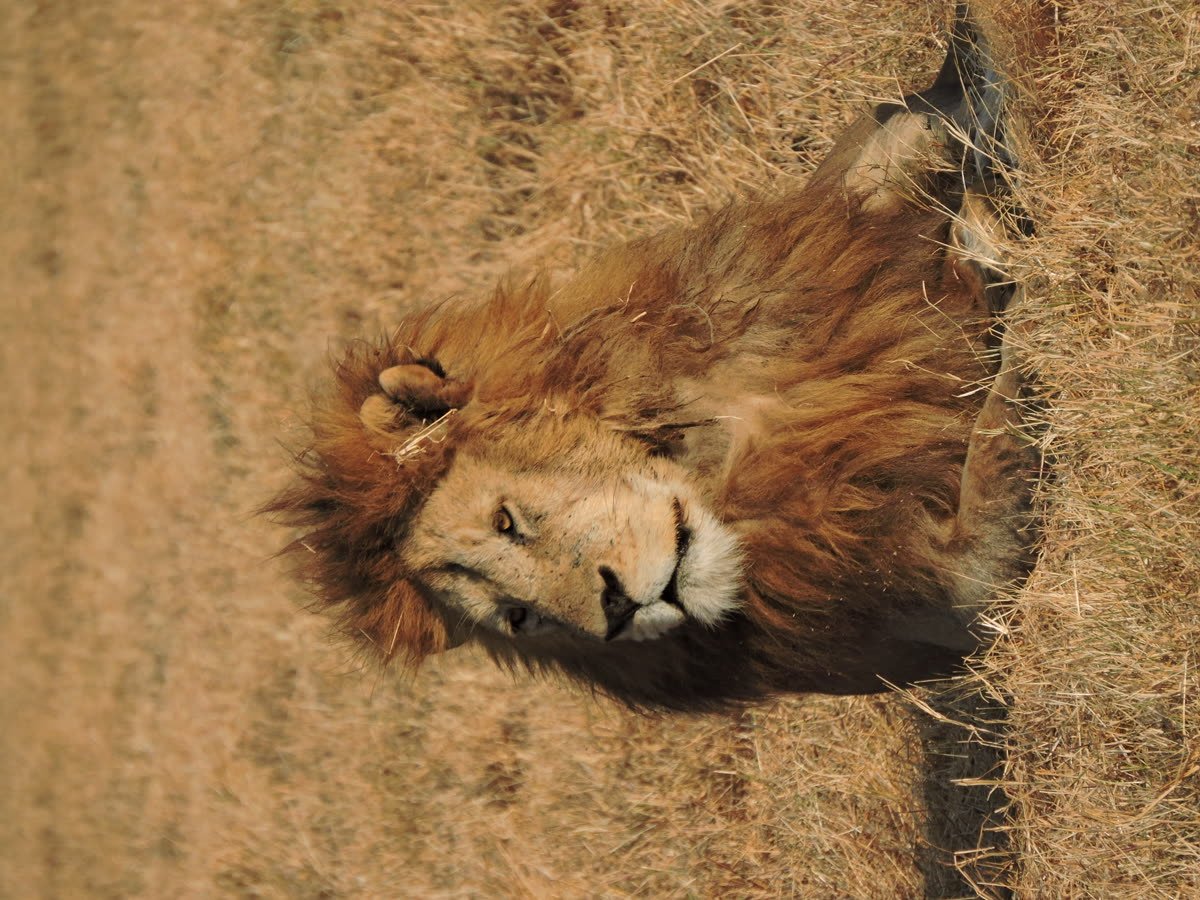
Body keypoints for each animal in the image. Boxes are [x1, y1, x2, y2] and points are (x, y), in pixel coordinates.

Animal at [267, 10, 1039, 710]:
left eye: (505, 522)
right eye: (519, 617)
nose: (618, 612)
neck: (727, 451)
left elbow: (916, 133)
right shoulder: (954, 594)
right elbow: (999, 434)